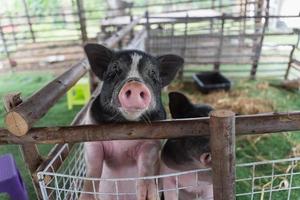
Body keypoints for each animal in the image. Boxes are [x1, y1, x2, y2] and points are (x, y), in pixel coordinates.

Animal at [79, 44, 183, 200]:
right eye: (115, 68)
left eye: (153, 73)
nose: (135, 85)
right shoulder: (92, 139)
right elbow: (93, 168)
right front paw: (86, 197)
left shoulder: (152, 142)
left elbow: (146, 162)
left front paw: (148, 196)